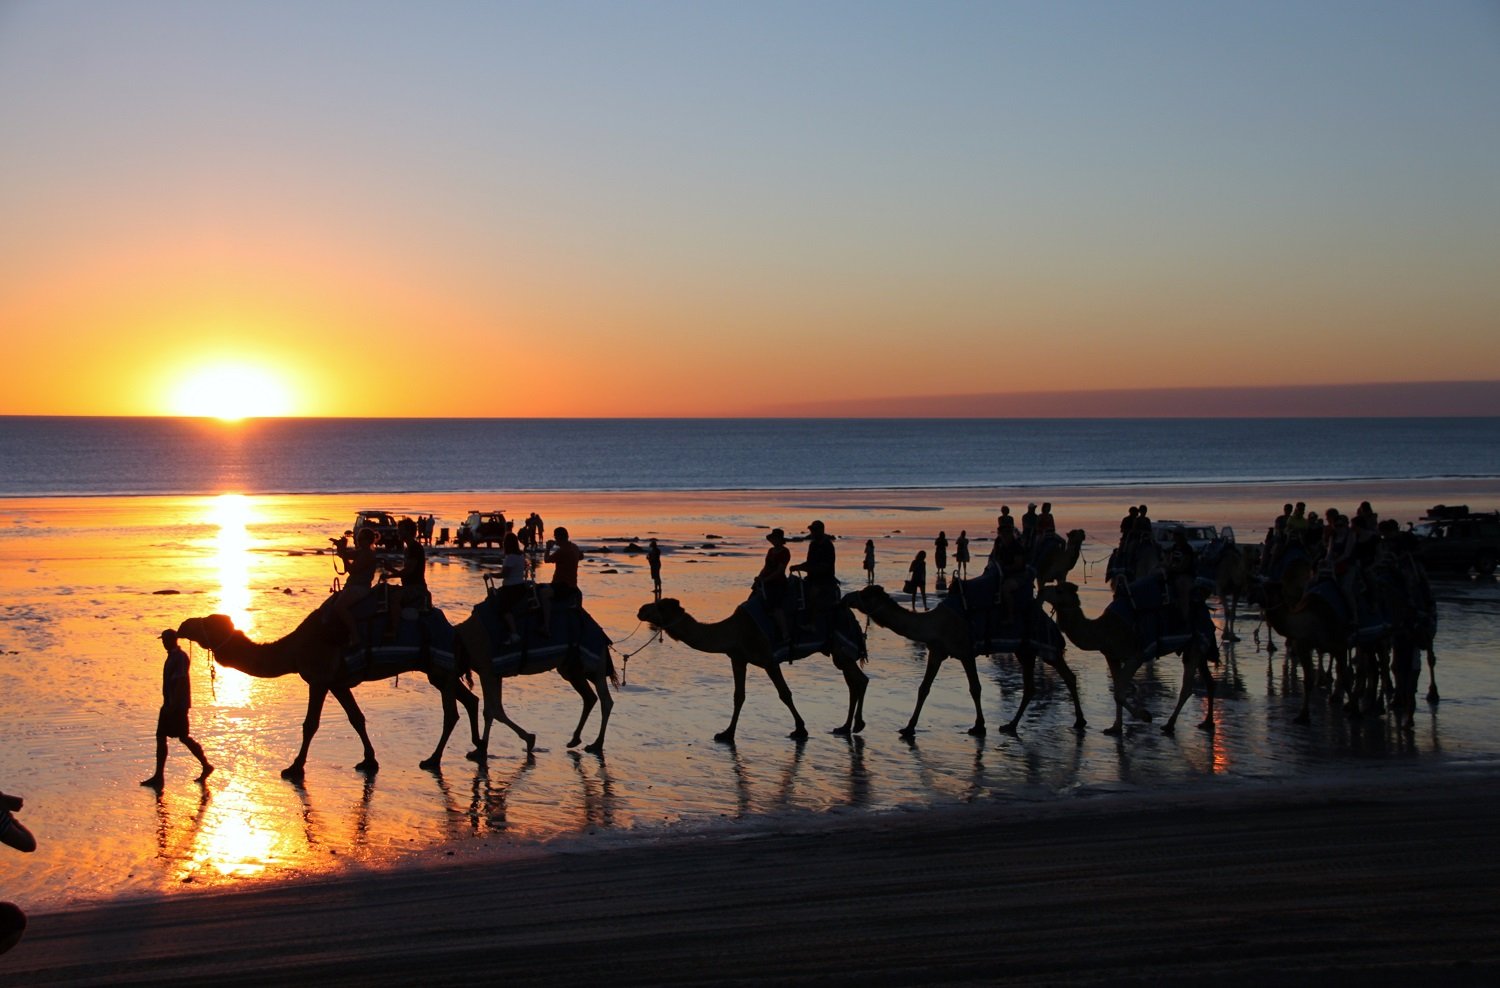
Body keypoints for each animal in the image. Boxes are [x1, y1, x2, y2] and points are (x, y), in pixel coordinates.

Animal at [174, 611, 480, 779]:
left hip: (439, 666)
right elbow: (357, 718)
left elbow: (310, 724)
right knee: (470, 700)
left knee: (451, 712)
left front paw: (294, 767)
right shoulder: (337, 682)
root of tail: (454, 632)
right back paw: (477, 748)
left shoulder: (319, 679)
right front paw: (369, 760)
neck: (294, 650)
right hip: (438, 671)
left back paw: (433, 759)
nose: (183, 625)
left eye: (207, 623)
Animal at [423, 587, 615, 764]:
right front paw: (527, 739)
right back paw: (575, 739)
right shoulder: (495, 673)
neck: (465, 641)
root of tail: (602, 634)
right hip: (571, 668)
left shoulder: (487, 670)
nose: (434, 681)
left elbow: (490, 710)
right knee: (590, 697)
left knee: (605, 699)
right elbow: (497, 710)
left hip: (594, 663)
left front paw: (481, 751)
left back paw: (596, 744)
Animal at [636, 596, 870, 743]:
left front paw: (800, 729)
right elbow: (738, 696)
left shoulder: (769, 659)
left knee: (860, 680)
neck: (734, 630)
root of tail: (851, 616)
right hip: (837, 651)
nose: (640, 609)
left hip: (840, 645)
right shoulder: (738, 659)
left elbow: (784, 694)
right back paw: (845, 726)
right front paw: (726, 733)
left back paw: (857, 724)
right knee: (853, 681)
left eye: (659, 606)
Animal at [846, 584, 1080, 737]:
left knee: (1063, 676)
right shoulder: (937, 651)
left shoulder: (966, 652)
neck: (933, 624)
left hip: (1042, 647)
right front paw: (908, 727)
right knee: (1036, 685)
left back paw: (1078, 721)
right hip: (1025, 651)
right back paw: (1011, 725)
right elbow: (924, 688)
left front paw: (979, 727)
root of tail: (1051, 622)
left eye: (865, 594)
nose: (847, 597)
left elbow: (975, 688)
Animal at [1044, 578, 1218, 734]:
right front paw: (1115, 728)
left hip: (1196, 642)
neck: (1101, 630)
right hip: (1196, 648)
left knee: (1187, 687)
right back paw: (1208, 722)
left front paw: (1146, 716)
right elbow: (1117, 690)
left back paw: (1169, 725)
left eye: (1059, 590)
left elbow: (1119, 693)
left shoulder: (1135, 657)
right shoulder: (1112, 656)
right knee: (1209, 681)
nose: (1043, 590)